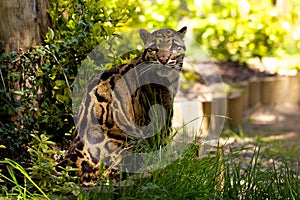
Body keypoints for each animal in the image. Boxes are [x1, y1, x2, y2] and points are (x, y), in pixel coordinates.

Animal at [61, 27, 186, 186]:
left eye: (174, 46)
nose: (163, 59)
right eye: (154, 48)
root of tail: (72, 156)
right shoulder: (161, 113)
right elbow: (163, 141)